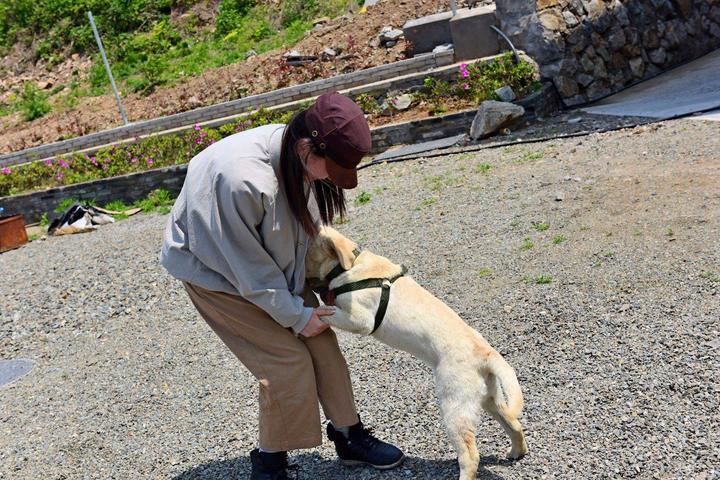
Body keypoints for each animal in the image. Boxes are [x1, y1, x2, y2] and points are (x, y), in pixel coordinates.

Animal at [304, 226, 528, 480]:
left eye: (304, 252)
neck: (351, 264)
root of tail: (486, 352)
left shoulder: (359, 319)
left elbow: (327, 312)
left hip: (455, 408)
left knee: (470, 456)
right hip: (490, 398)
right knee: (514, 423)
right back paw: (516, 452)